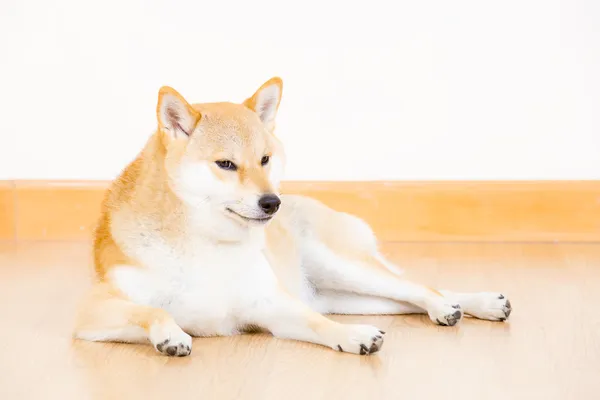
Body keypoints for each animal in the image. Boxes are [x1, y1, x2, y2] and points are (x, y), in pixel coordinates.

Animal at [71, 76, 510, 356]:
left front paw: (352, 337)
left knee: (420, 288)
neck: (208, 244)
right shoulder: (93, 314)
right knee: (407, 297)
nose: (272, 203)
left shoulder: (271, 306)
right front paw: (170, 336)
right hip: (337, 294)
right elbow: (154, 310)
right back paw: (477, 304)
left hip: (341, 267)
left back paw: (463, 305)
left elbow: (320, 326)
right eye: (226, 164)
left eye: (265, 159)